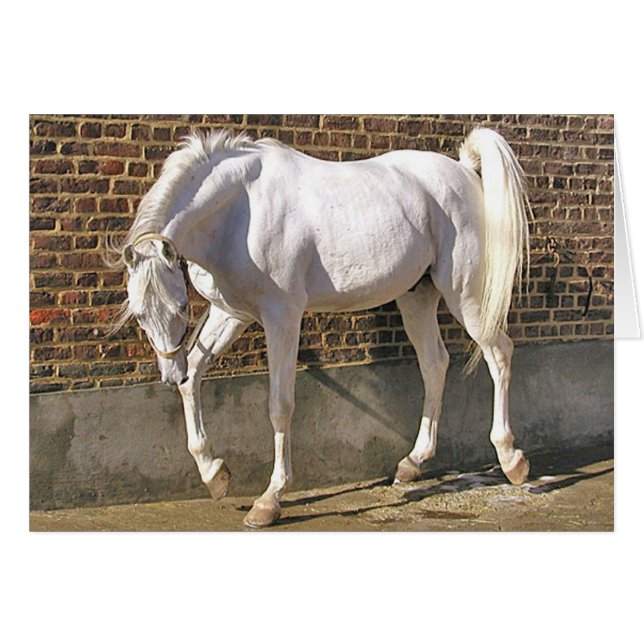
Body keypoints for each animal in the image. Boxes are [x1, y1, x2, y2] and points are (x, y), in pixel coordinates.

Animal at [106, 127, 532, 528]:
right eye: (139, 314)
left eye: (180, 306)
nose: (167, 373)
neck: (240, 211)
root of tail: (464, 170)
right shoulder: (230, 313)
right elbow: (194, 375)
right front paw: (215, 474)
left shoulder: (282, 316)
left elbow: (280, 404)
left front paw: (269, 501)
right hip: (417, 297)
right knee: (434, 364)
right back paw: (412, 463)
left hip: (466, 296)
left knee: (499, 355)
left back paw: (512, 460)